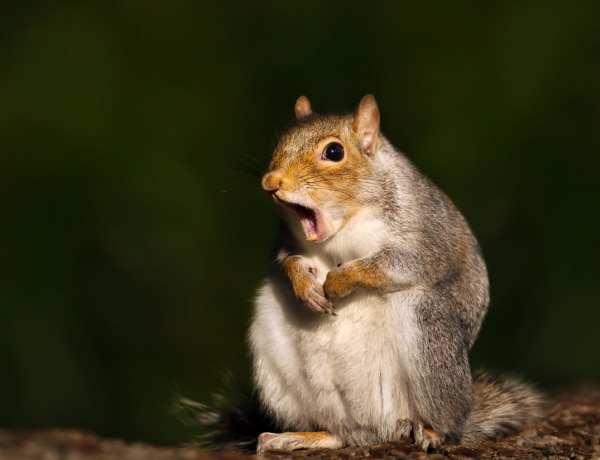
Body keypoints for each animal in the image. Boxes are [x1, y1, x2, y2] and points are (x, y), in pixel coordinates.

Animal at [180, 93, 540, 452]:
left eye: (334, 152)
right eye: (280, 142)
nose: (271, 181)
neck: (344, 225)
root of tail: (375, 429)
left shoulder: (429, 236)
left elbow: (397, 263)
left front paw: (338, 282)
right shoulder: (283, 239)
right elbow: (286, 260)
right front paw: (304, 285)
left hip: (428, 331)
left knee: (447, 422)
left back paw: (431, 431)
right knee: (339, 434)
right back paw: (299, 436)